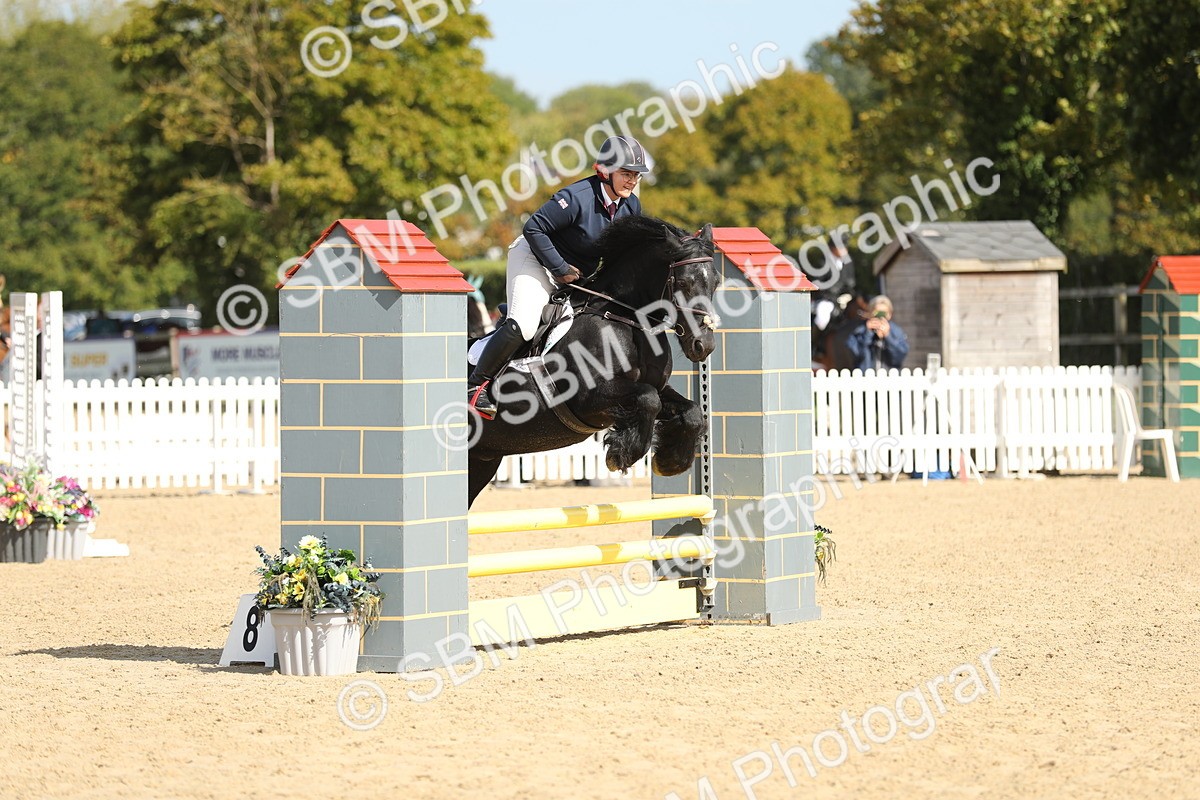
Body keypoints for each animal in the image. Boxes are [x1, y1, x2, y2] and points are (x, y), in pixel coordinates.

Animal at [465, 216, 720, 507]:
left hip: (481, 460)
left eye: (716, 283)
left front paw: (670, 462)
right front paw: (621, 454)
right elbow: (648, 399)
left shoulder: (657, 388)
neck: (624, 317)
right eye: (685, 283)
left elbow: (691, 412)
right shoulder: (588, 398)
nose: (703, 345)